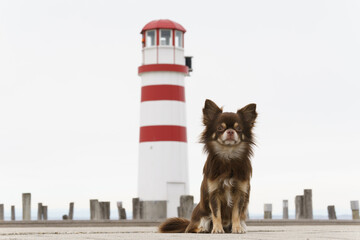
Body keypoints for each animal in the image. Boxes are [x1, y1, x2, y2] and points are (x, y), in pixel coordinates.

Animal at [159, 99, 258, 234]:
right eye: (220, 128)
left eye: (238, 128)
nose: (230, 131)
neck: (228, 156)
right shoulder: (213, 193)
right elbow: (216, 213)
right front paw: (217, 229)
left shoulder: (240, 192)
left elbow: (236, 213)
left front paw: (237, 228)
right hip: (201, 215)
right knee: (192, 228)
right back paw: (202, 229)